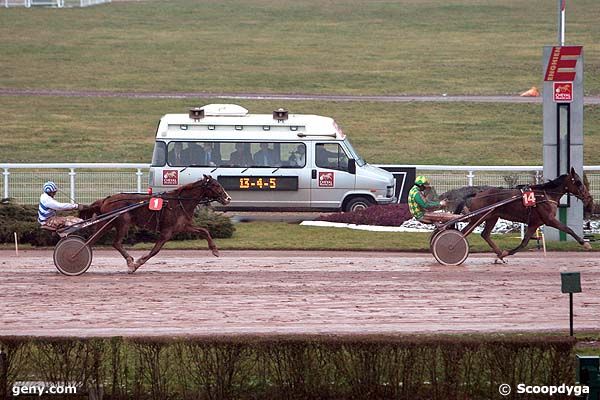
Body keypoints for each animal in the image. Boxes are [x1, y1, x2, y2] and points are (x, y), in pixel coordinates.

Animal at [79, 177, 230, 274]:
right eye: (216, 185)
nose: (228, 198)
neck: (179, 202)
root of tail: (106, 199)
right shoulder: (167, 231)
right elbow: (155, 250)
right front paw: (136, 264)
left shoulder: (183, 226)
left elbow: (204, 231)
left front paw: (215, 250)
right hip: (123, 222)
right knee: (115, 243)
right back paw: (129, 261)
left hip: (107, 223)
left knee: (92, 239)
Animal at [462, 167, 592, 260]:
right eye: (579, 182)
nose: (588, 197)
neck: (545, 195)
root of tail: (478, 194)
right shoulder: (549, 220)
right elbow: (568, 229)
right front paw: (585, 243)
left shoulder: (534, 223)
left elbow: (524, 242)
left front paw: (504, 254)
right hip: (478, 217)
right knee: (464, 232)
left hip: (492, 217)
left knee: (485, 234)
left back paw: (499, 253)